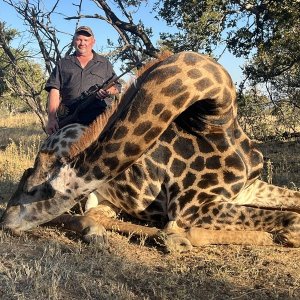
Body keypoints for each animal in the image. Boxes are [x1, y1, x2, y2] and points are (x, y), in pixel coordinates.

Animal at [0, 51, 300, 251]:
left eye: (36, 190)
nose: (5, 222)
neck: (219, 119)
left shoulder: (249, 187)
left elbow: (294, 206)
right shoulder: (192, 207)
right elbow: (292, 221)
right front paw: (178, 235)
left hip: (104, 199)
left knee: (94, 213)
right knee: (79, 216)